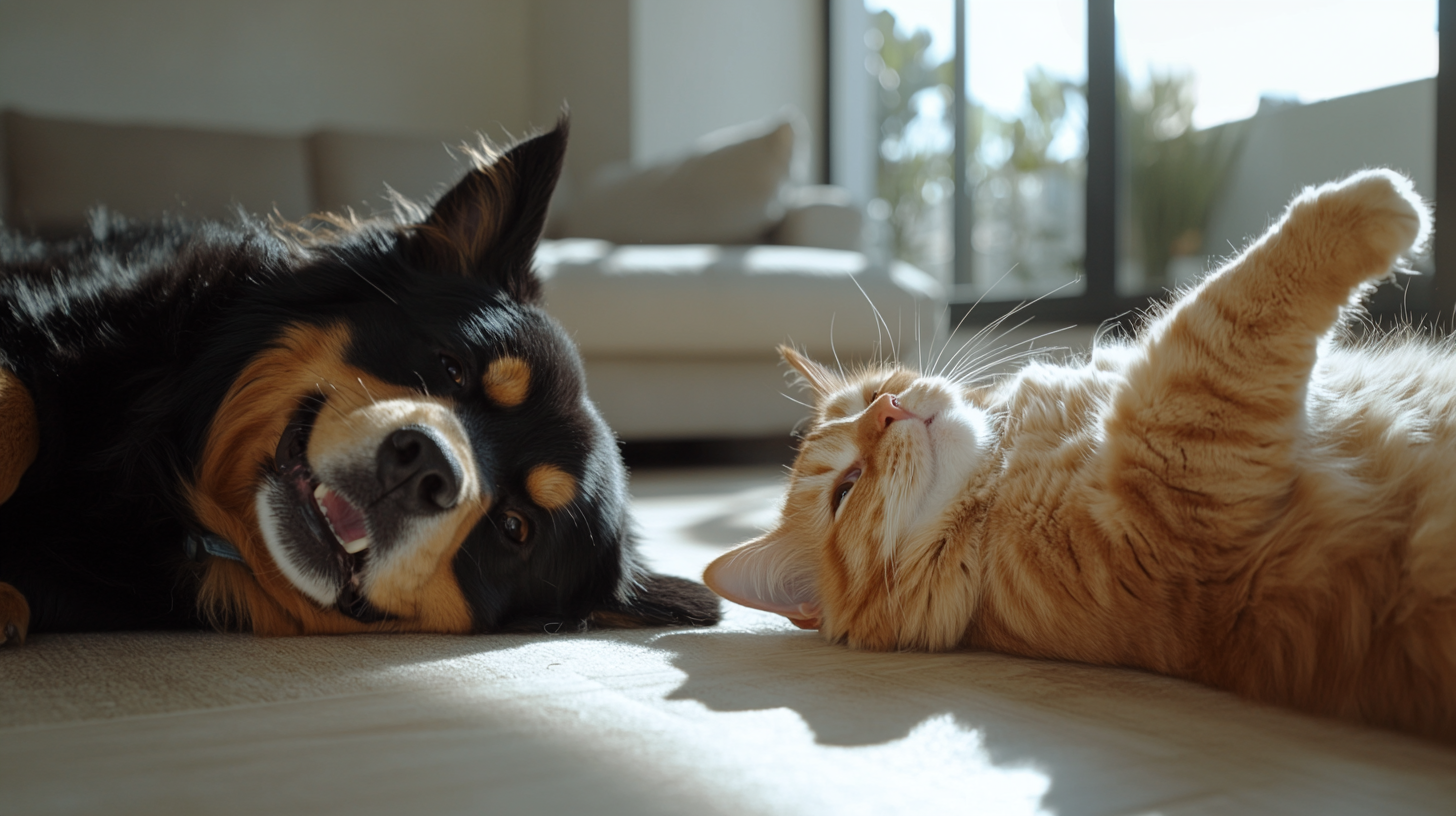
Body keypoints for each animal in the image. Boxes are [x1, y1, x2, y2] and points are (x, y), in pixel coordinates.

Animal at [704, 167, 1456, 740]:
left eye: (874, 392)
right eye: (847, 486)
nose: (891, 409)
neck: (1004, 465)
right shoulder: (1177, 475)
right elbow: (1223, 308)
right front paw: (1373, 205)